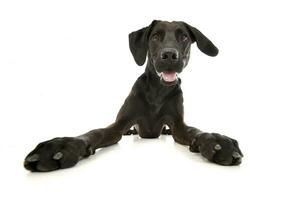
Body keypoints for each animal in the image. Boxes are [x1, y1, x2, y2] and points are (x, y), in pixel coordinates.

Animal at [24, 19, 244, 171]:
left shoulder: (178, 125)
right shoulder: (120, 124)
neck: (157, 91)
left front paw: (216, 141)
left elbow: (194, 131)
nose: (169, 55)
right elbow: (95, 132)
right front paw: (62, 146)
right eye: (155, 37)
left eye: (184, 37)